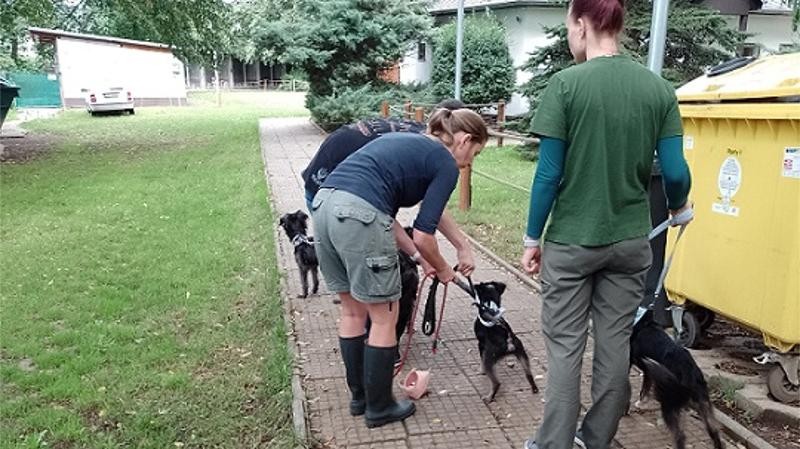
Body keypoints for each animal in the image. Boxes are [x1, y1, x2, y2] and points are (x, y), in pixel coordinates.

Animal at [632, 308, 724, 448]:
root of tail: (689, 372)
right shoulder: (649, 372)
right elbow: (646, 388)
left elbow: (644, 389)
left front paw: (640, 403)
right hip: (702, 402)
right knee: (713, 430)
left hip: (670, 403)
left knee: (680, 436)